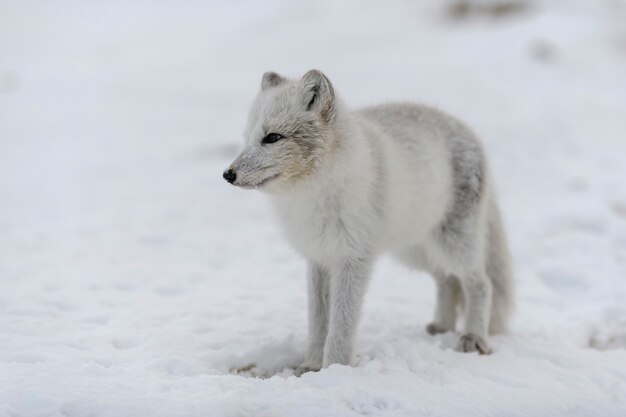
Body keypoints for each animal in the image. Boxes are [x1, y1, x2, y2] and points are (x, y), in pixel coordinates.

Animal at [224, 70, 512, 372]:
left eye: (272, 137)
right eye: (247, 138)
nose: (227, 174)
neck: (313, 193)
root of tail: (466, 128)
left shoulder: (353, 258)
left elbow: (340, 325)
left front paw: (335, 369)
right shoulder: (318, 258)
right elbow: (318, 322)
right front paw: (311, 366)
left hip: (454, 244)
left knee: (480, 283)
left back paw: (474, 339)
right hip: (415, 250)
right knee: (446, 279)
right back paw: (441, 327)